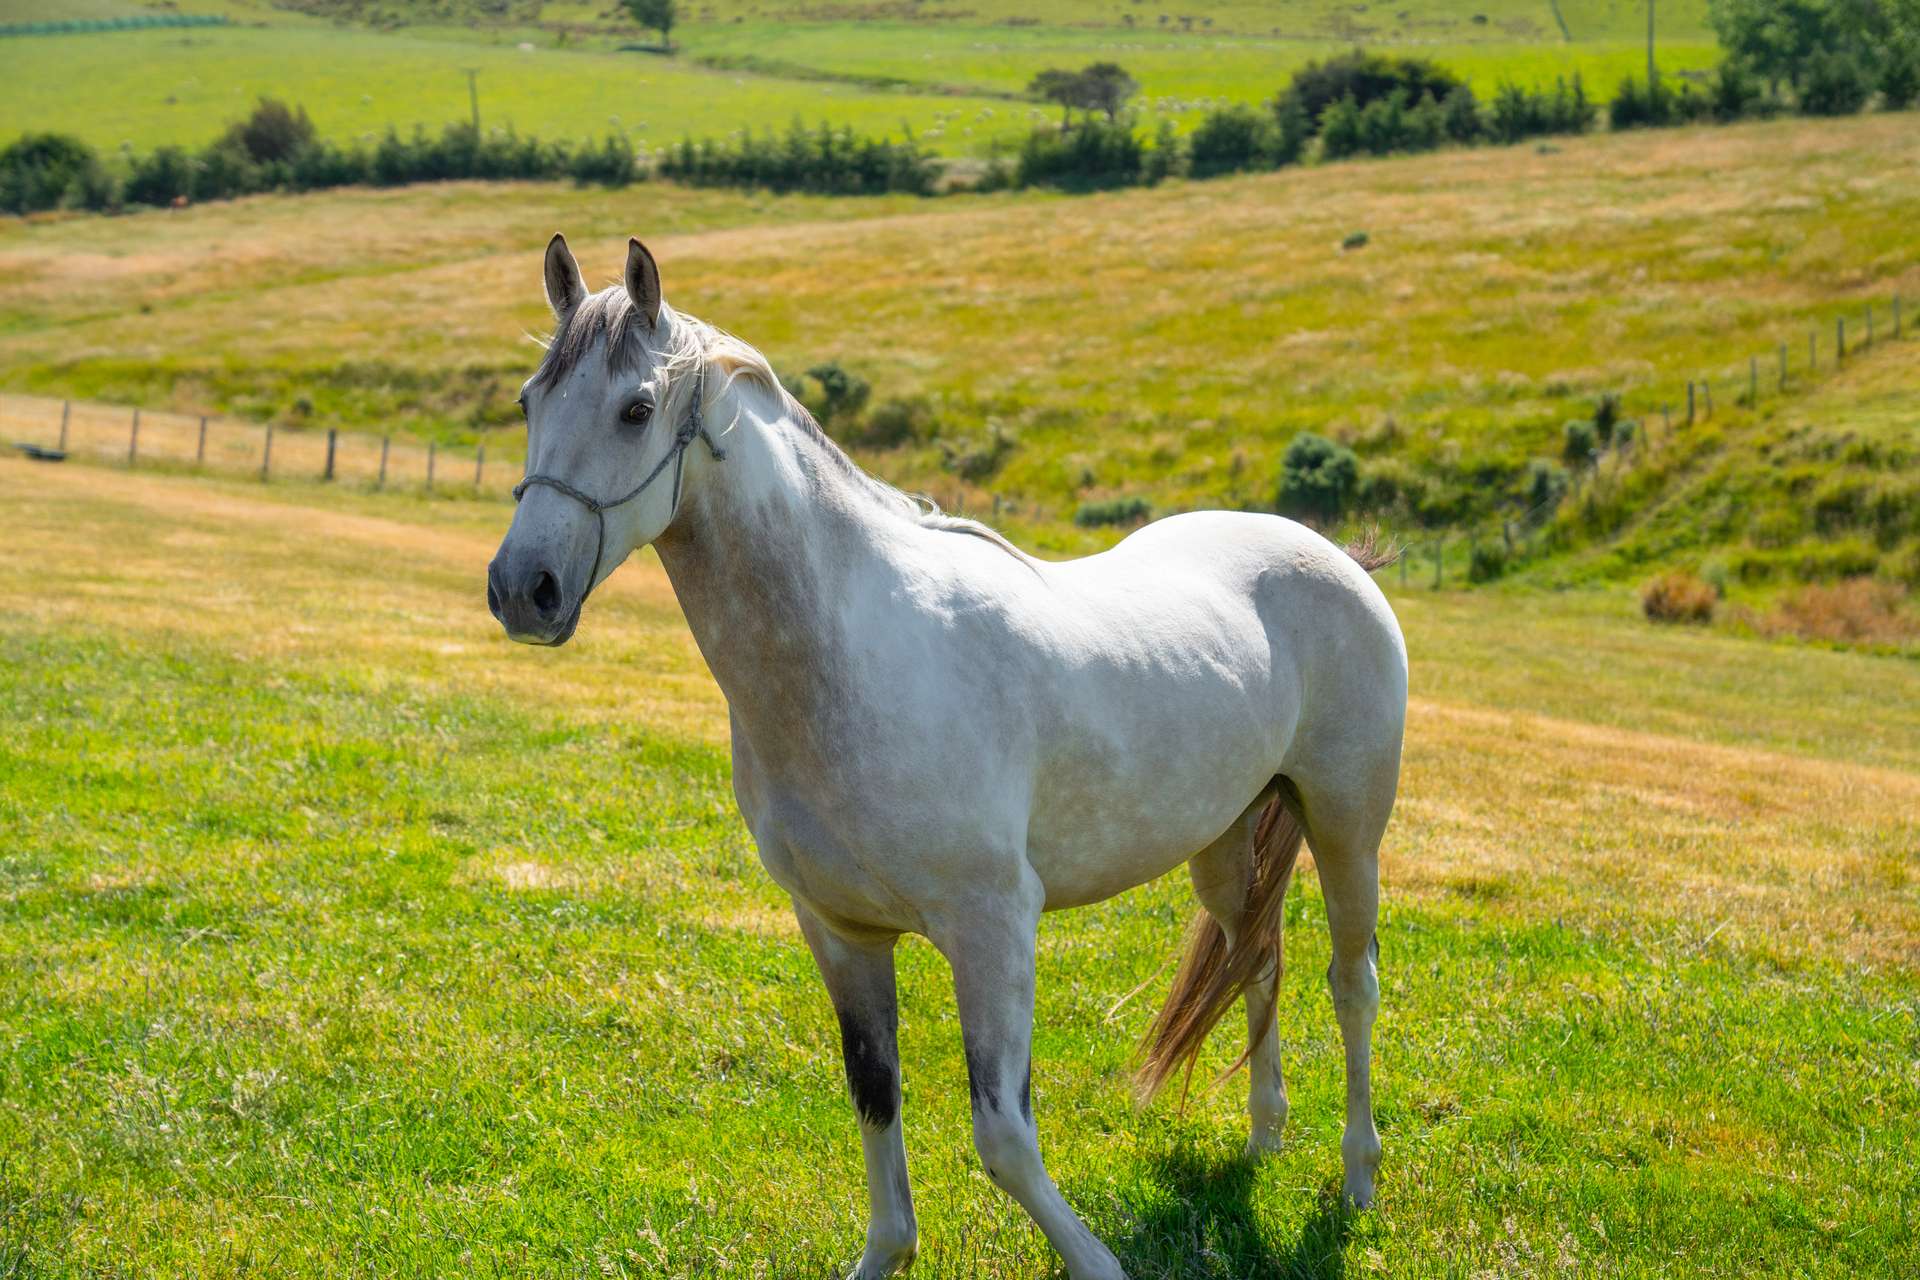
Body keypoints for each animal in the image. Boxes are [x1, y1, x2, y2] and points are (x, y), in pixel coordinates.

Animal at [480, 235, 1413, 1274]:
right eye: (528, 401)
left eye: (636, 409)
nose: (523, 589)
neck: (850, 654)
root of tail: (1332, 557)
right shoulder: (841, 934)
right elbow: (875, 1101)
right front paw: (885, 1253)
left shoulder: (993, 927)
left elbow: (1003, 1135)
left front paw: (1097, 1262)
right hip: (1223, 845)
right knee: (1257, 959)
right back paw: (1262, 1139)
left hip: (1347, 829)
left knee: (1352, 985)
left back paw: (1359, 1182)